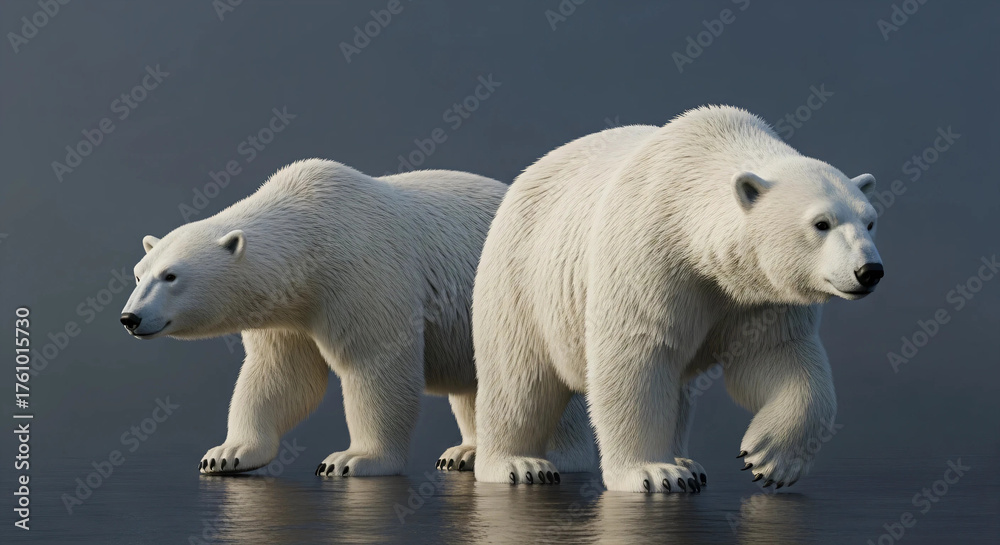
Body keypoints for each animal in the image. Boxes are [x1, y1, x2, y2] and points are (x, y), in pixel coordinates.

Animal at [119, 158, 596, 477]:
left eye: (171, 275)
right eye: (139, 273)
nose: (130, 318)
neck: (310, 233)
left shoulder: (363, 272)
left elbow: (376, 366)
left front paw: (352, 459)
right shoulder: (290, 313)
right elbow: (281, 376)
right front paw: (226, 453)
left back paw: (545, 458)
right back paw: (464, 453)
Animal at [472, 105, 884, 492]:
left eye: (870, 221)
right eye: (821, 223)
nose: (870, 271)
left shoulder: (757, 295)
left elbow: (776, 355)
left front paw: (770, 460)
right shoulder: (648, 254)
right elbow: (635, 358)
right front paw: (653, 473)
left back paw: (687, 461)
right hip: (522, 276)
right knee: (520, 378)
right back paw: (518, 463)